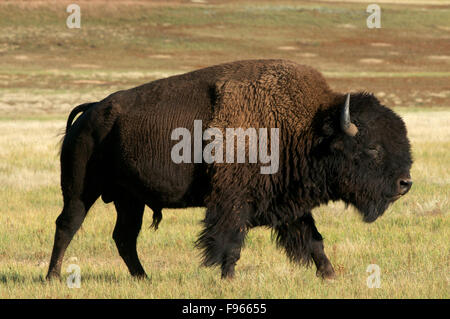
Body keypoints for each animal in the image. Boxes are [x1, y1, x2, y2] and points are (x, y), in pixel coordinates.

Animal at [45, 59, 412, 280]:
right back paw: (52, 277)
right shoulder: (232, 202)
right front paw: (228, 278)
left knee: (124, 237)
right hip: (80, 190)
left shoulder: (291, 203)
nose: (405, 183)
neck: (306, 128)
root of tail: (90, 111)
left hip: (129, 200)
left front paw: (330, 276)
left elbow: (314, 241)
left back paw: (143, 279)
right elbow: (230, 242)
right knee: (67, 225)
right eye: (372, 147)